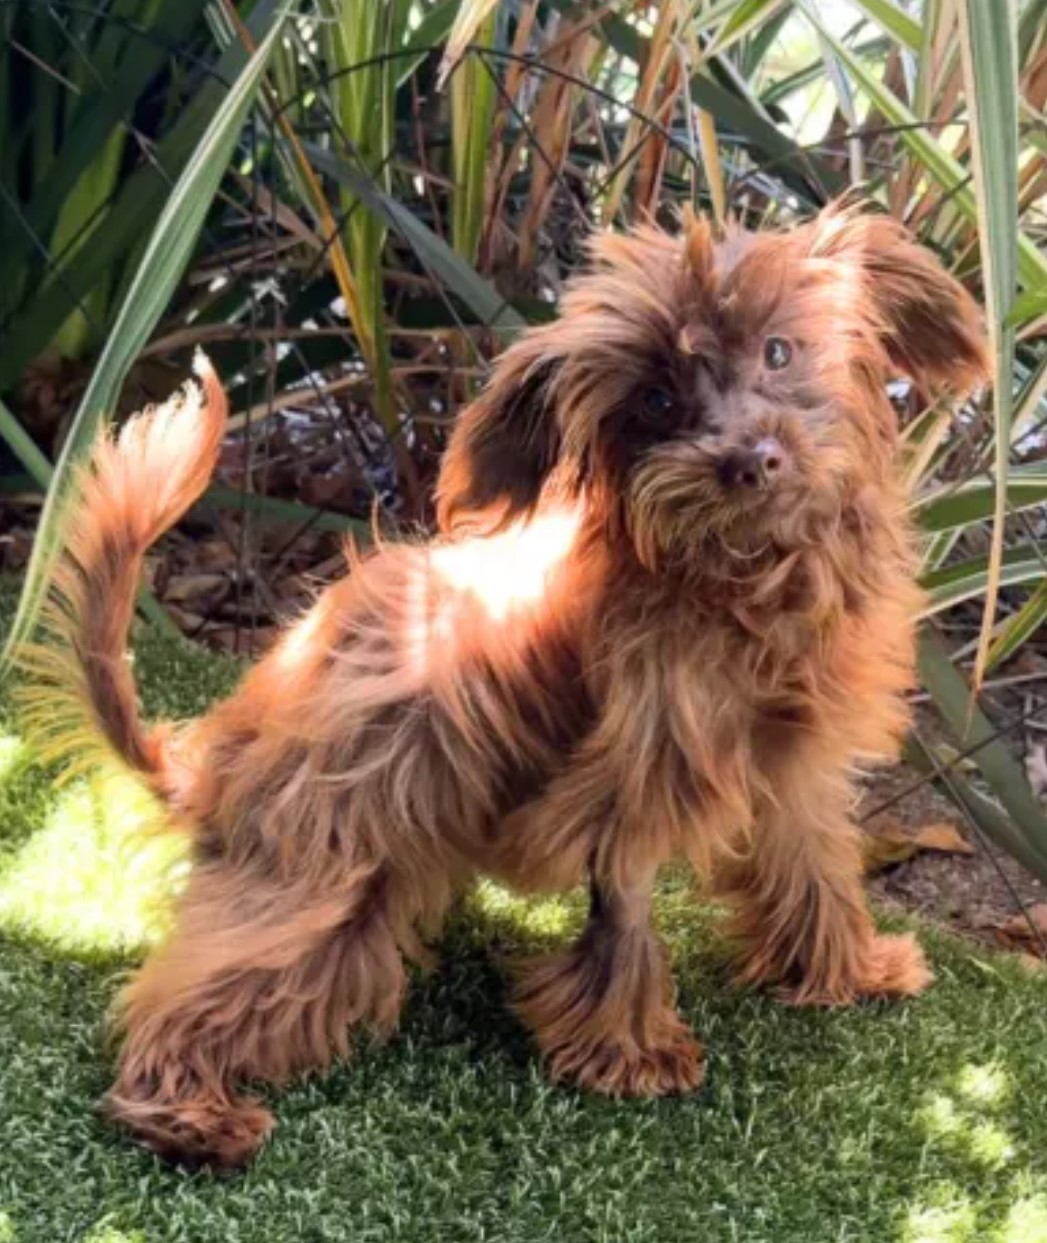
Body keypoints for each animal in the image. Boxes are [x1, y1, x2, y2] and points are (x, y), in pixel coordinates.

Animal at [24, 203, 989, 1163]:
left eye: (778, 350)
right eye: (653, 400)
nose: (748, 458)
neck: (741, 579)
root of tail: (213, 775)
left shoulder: (795, 766)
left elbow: (814, 870)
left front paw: (851, 970)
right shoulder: (627, 780)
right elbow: (625, 914)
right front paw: (630, 1049)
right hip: (329, 871)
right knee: (207, 986)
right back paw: (184, 1108)